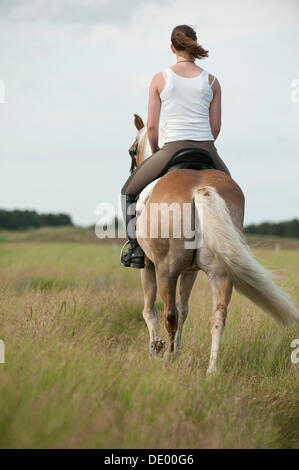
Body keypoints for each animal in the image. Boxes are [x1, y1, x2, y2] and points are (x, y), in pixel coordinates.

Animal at [129, 114, 299, 374]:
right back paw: (210, 371)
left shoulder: (149, 266)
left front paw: (156, 349)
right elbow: (185, 308)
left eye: (131, 151)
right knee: (217, 316)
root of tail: (201, 187)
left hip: (167, 270)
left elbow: (150, 311)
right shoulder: (190, 271)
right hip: (220, 271)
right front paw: (177, 351)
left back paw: (168, 359)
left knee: (169, 314)